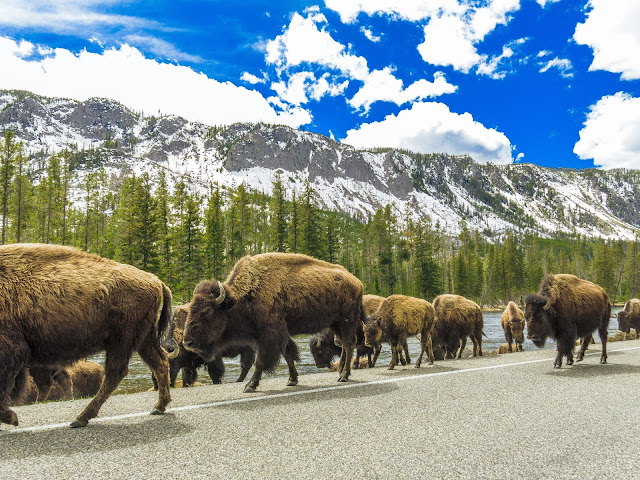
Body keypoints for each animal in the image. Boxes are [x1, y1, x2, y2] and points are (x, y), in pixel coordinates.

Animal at [0, 244, 178, 428]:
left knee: (116, 372)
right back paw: (158, 407)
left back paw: (81, 418)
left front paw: (10, 417)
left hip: (122, 340)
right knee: (159, 362)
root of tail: (156, 281)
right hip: (142, 339)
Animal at [184, 253, 364, 392]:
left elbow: (260, 361)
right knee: (343, 345)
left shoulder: (269, 336)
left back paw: (343, 376)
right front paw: (292, 380)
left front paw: (250, 386)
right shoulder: (279, 335)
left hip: (347, 320)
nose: (187, 342)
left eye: (206, 311)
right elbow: (287, 354)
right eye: (191, 308)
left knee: (348, 344)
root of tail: (357, 281)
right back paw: (340, 372)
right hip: (335, 323)